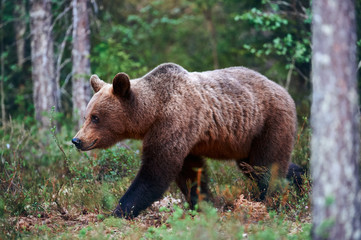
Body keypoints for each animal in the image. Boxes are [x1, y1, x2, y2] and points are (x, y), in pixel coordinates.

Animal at [71, 62, 300, 218]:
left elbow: (155, 172)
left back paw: (269, 200)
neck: (152, 112)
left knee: (266, 167)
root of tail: (284, 91)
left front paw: (118, 210)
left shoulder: (175, 121)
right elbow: (191, 173)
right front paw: (204, 203)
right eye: (86, 116)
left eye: (96, 117)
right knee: (257, 165)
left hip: (269, 122)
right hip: (245, 140)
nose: (77, 140)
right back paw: (300, 178)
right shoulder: (186, 138)